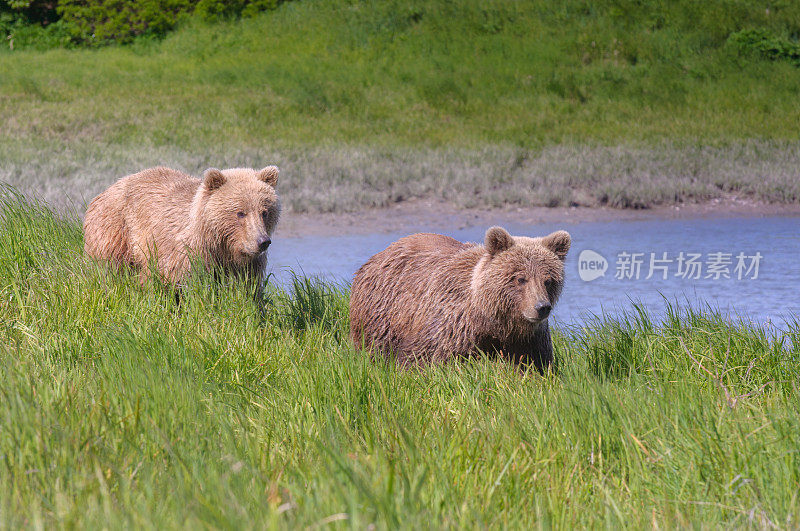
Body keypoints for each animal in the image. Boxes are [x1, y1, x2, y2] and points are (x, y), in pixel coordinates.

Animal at [83, 167, 282, 286]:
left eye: (265, 212)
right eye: (240, 212)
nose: (263, 241)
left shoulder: (246, 267)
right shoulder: (186, 256)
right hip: (115, 229)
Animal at [348, 227, 568, 372]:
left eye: (548, 280)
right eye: (520, 278)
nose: (541, 307)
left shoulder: (527, 339)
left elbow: (534, 365)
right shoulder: (451, 324)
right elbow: (424, 358)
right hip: (382, 314)